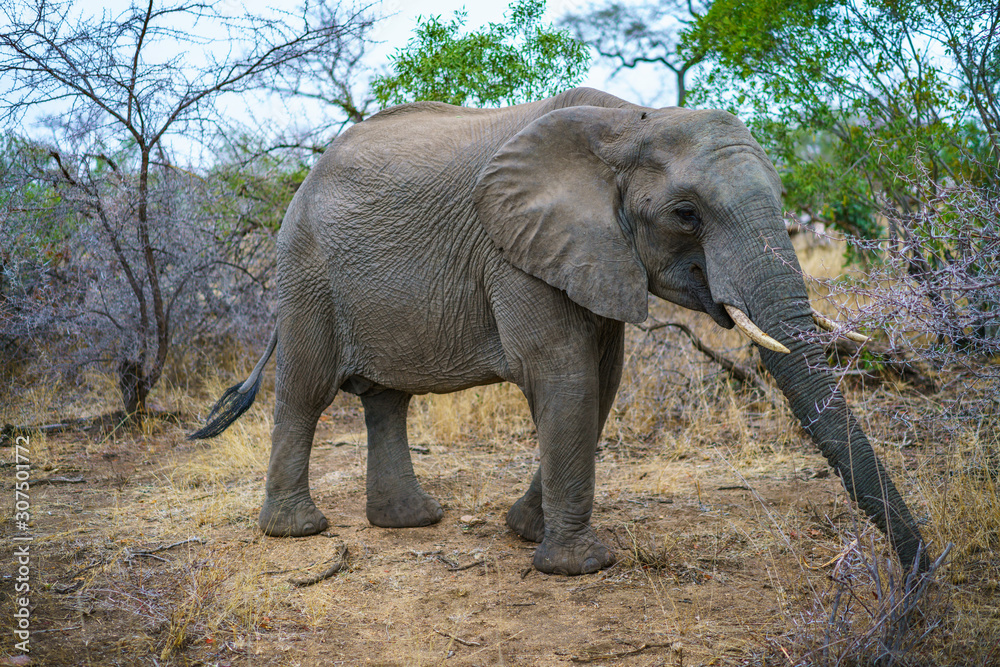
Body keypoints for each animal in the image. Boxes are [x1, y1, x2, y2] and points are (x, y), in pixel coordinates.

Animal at [191, 87, 928, 576]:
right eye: (686, 214)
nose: (919, 573)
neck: (629, 123)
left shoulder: (594, 253)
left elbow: (600, 380)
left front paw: (525, 531)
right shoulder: (515, 249)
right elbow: (562, 372)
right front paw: (579, 565)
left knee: (385, 400)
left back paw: (412, 521)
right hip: (306, 270)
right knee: (306, 392)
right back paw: (298, 531)